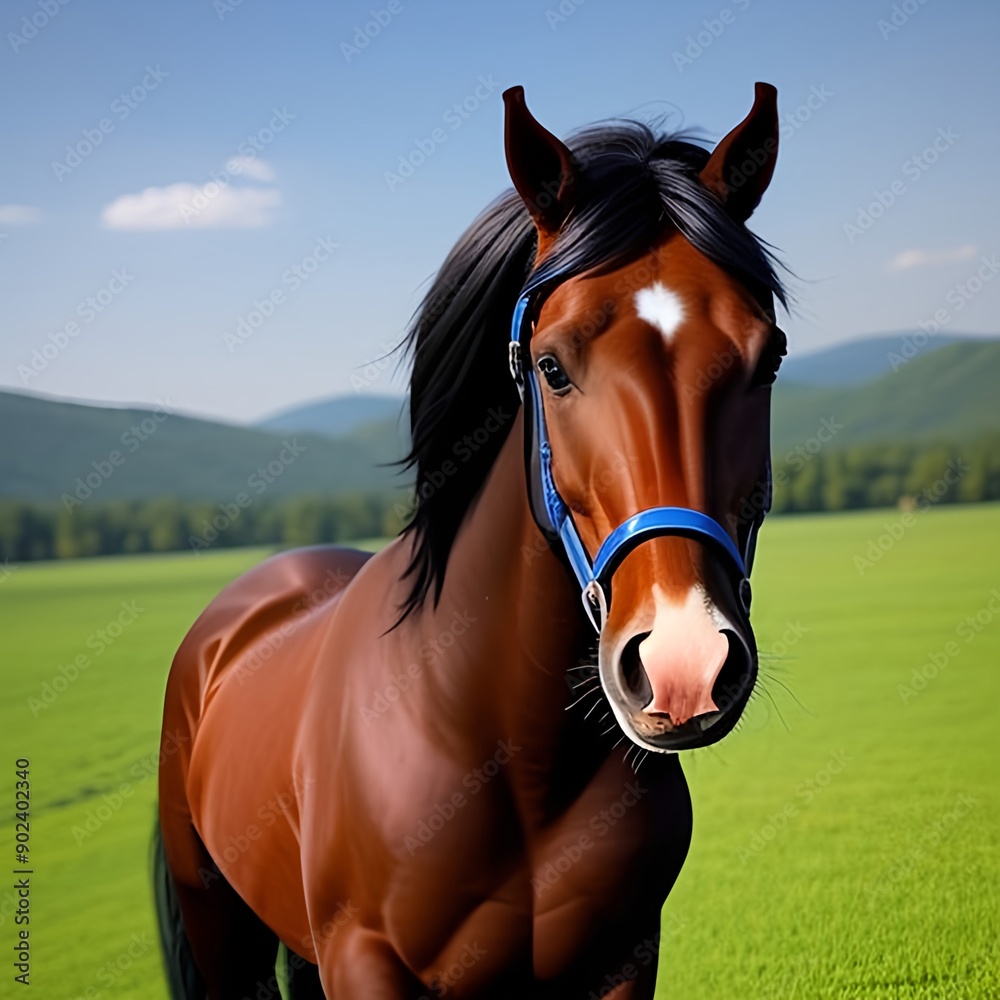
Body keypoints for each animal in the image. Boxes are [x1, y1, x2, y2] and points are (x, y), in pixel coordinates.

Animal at [155, 82, 788, 999]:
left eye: (768, 359)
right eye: (552, 367)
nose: (685, 664)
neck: (508, 753)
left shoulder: (628, 956)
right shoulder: (364, 962)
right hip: (221, 932)